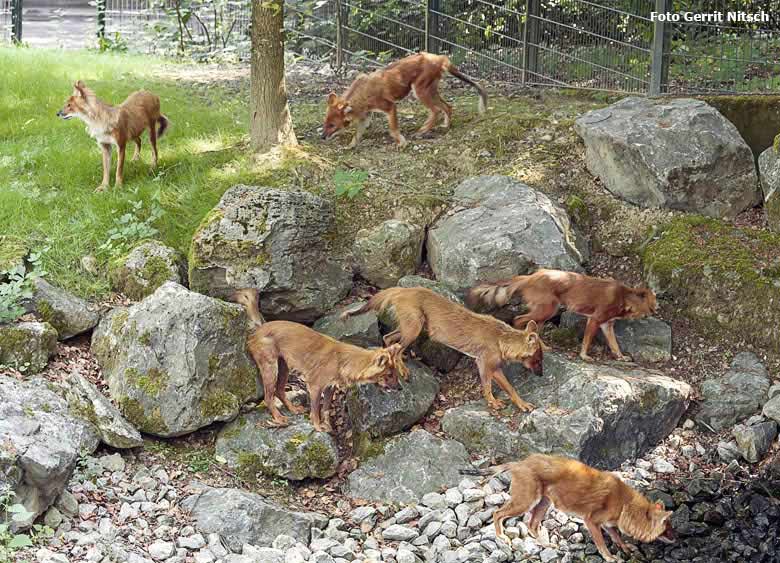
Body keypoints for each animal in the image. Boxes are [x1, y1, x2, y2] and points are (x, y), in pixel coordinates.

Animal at [320, 52, 484, 149]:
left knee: (436, 110)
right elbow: (357, 134)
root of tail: (438, 57)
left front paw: (402, 143)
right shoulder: (366, 116)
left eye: (332, 125)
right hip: (430, 90)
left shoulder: (390, 106)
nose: (322, 137)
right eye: (325, 123)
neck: (362, 93)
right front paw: (351, 145)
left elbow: (393, 129)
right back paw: (445, 126)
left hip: (420, 91)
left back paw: (422, 131)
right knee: (448, 106)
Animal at [464, 456, 676, 560]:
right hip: (526, 501)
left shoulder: (608, 524)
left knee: (532, 525)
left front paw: (625, 548)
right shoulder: (592, 521)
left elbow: (617, 537)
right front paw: (610, 558)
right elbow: (602, 544)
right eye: (668, 527)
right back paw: (501, 537)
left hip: (543, 503)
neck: (626, 505)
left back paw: (547, 545)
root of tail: (520, 462)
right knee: (497, 513)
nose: (678, 538)